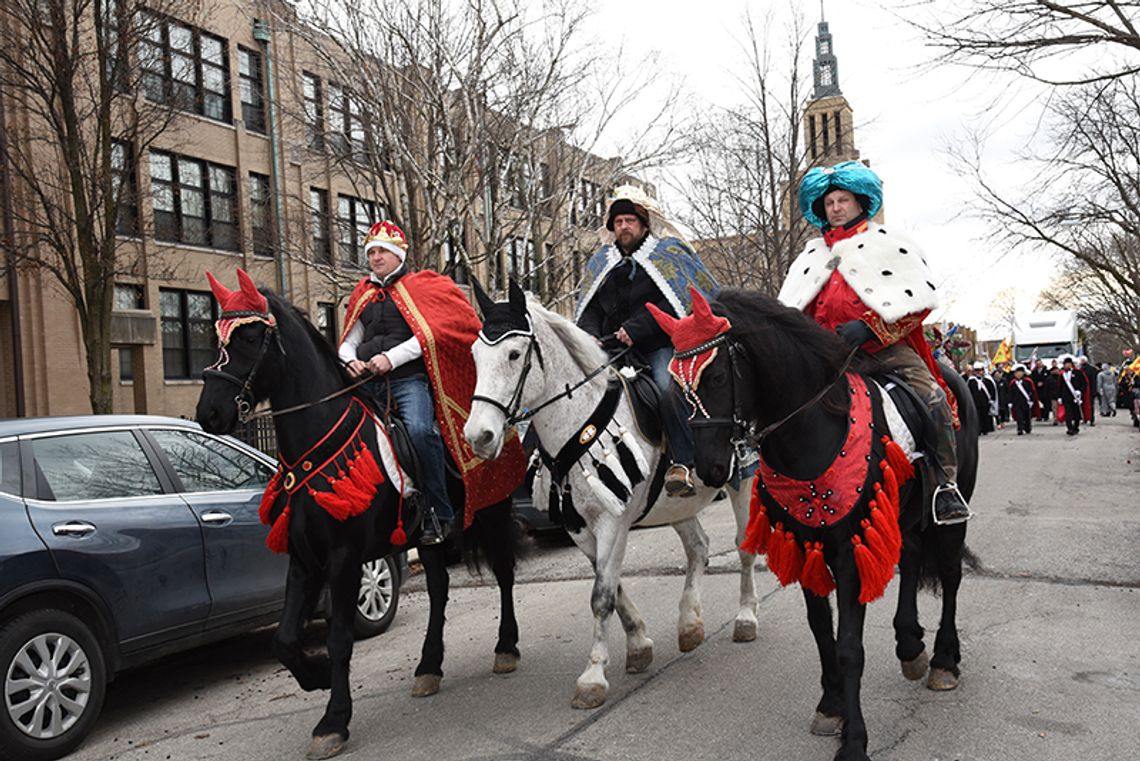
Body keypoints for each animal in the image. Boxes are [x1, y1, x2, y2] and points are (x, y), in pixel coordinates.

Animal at [462, 282, 756, 710]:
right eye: (474, 356)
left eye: (514, 354)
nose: (479, 437)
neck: (580, 420)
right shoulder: (579, 528)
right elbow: (612, 587)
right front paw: (638, 645)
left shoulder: (612, 521)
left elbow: (601, 596)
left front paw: (593, 676)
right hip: (676, 505)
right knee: (699, 548)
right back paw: (689, 623)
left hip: (740, 480)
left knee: (744, 546)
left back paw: (746, 617)